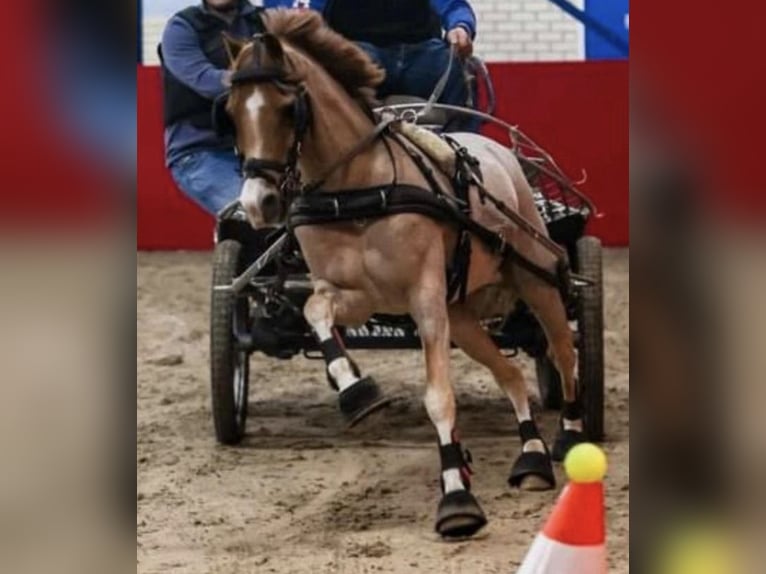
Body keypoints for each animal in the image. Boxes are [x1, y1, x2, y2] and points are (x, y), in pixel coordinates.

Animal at [220, 8, 585, 539]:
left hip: (535, 278)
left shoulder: (424, 297)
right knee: (513, 373)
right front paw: (356, 390)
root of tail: (498, 151)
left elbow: (439, 398)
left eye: (289, 108)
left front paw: (456, 497)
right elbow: (315, 312)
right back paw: (532, 458)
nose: (258, 204)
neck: (356, 190)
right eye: (229, 111)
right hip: (463, 315)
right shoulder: (356, 296)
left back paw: (570, 437)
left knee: (563, 351)